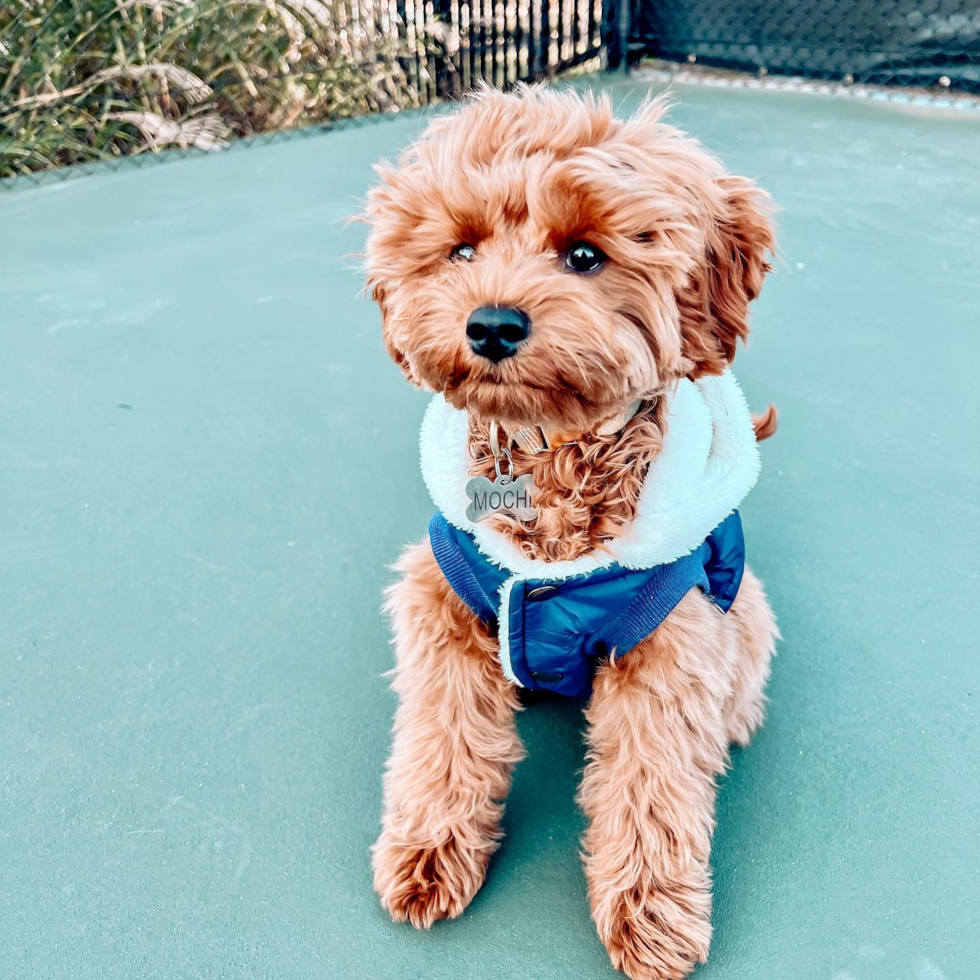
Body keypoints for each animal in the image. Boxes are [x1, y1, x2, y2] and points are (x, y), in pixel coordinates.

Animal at [364, 86, 776, 980]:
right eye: (461, 249)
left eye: (585, 255)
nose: (490, 325)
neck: (551, 459)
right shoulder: (444, 604)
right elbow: (442, 741)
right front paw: (428, 850)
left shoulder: (671, 643)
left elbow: (652, 784)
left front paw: (651, 912)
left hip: (744, 608)